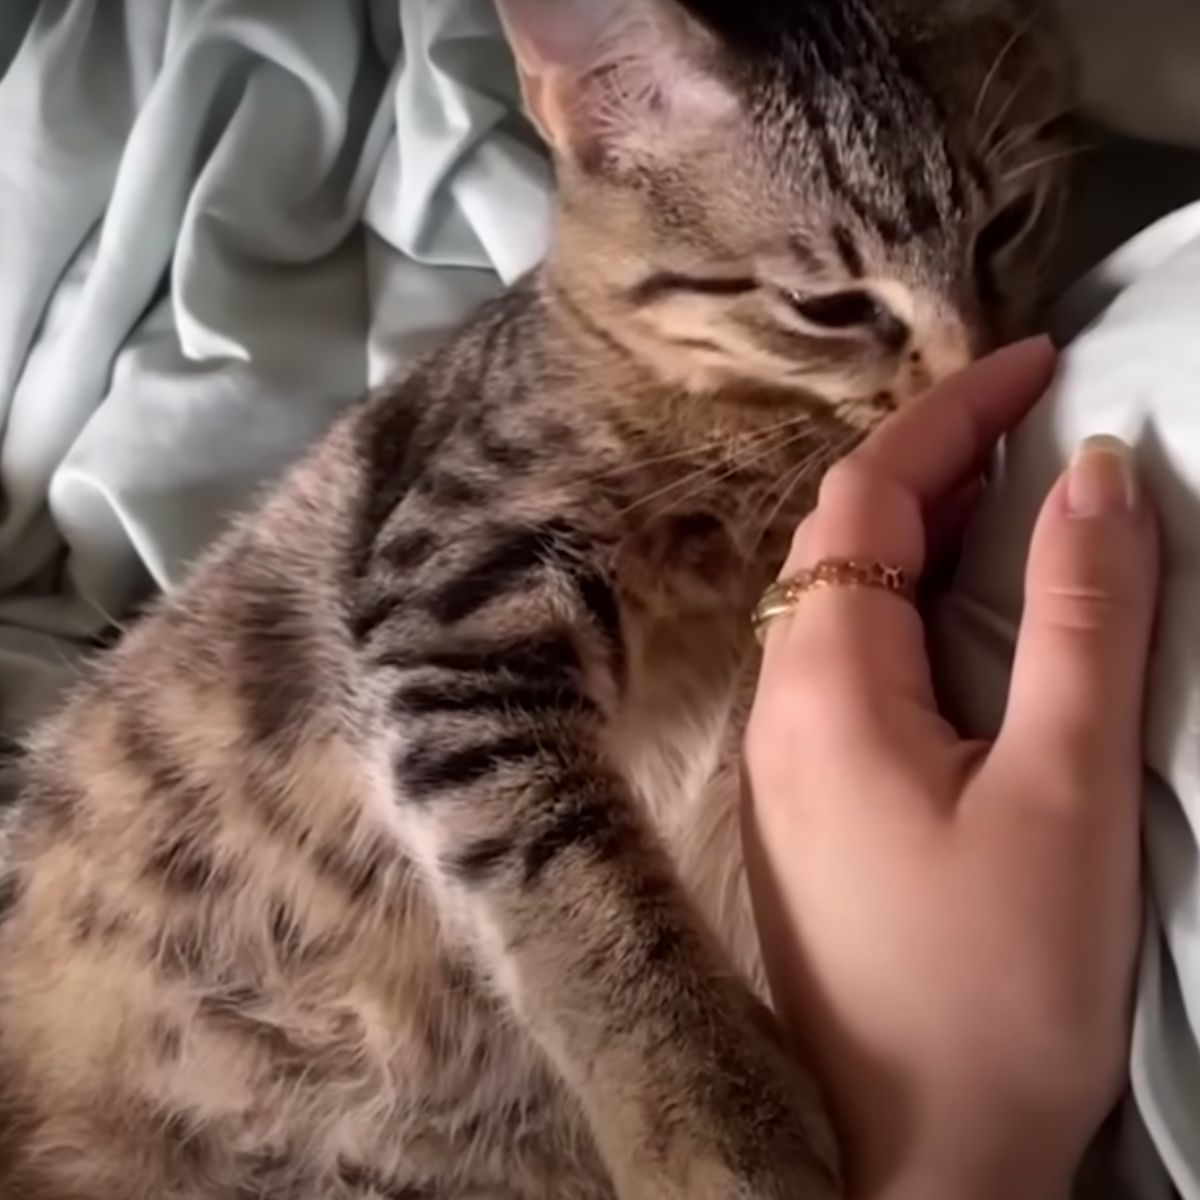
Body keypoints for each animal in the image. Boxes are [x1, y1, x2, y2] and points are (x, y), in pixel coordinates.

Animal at [0, 2, 1070, 1200]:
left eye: (1009, 223)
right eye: (827, 307)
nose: (979, 362)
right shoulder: (458, 602)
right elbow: (579, 880)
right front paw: (717, 1126)